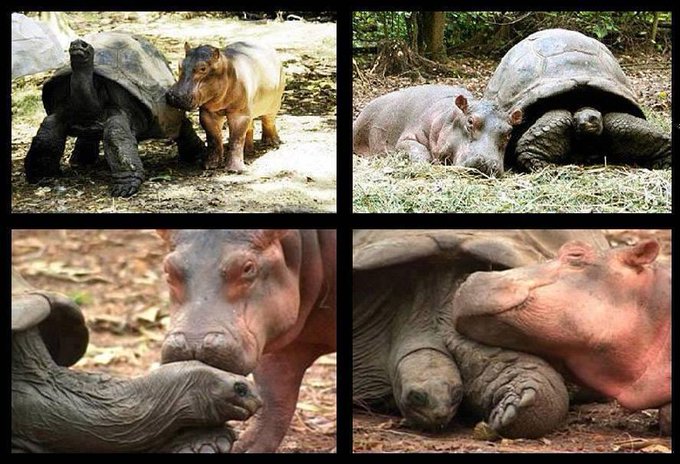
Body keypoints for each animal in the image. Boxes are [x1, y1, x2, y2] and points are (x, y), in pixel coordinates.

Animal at [157, 229, 336, 452]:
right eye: (168, 269)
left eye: (248, 268)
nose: (194, 343)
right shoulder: (273, 337)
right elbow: (274, 391)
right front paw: (239, 446)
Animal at [165, 42, 285, 172]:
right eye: (180, 64)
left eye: (203, 68)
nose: (174, 96)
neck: (226, 69)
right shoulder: (208, 113)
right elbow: (214, 138)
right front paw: (210, 165)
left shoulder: (239, 113)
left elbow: (237, 138)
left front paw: (235, 170)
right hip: (249, 107)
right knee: (250, 125)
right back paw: (248, 150)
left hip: (274, 102)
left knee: (268, 119)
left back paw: (272, 143)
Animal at [352, 85, 522, 176]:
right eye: (470, 121)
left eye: (509, 133)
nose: (486, 163)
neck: (448, 116)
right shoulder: (409, 135)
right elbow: (415, 147)